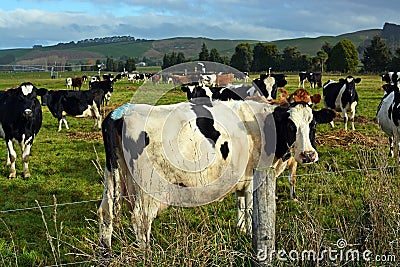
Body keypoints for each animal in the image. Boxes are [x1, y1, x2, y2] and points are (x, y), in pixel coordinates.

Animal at [97, 88, 334, 255]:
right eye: (291, 125)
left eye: (313, 125)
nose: (308, 155)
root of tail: (121, 112)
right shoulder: (254, 179)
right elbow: (251, 211)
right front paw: (250, 234)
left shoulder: (243, 179)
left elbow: (241, 207)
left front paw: (241, 231)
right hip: (148, 190)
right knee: (140, 219)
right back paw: (147, 255)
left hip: (113, 177)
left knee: (106, 212)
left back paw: (105, 252)